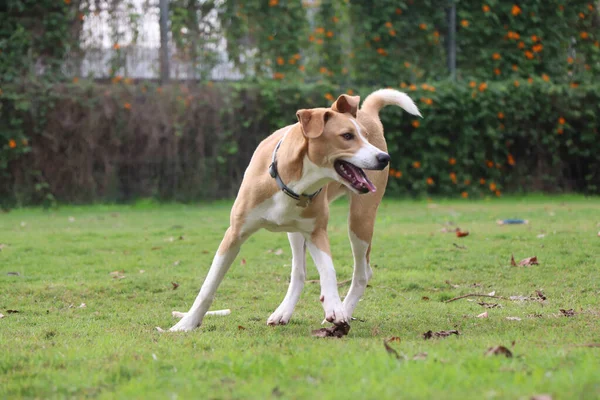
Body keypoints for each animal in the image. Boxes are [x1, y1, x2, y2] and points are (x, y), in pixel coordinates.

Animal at [168, 88, 422, 332]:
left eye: (366, 137)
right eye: (347, 136)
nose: (384, 158)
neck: (294, 181)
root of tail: (367, 111)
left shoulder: (317, 232)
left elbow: (328, 270)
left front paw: (335, 308)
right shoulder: (235, 233)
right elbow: (209, 285)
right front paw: (186, 323)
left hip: (360, 221)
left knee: (362, 274)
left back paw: (344, 310)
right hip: (296, 232)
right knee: (300, 272)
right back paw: (284, 312)